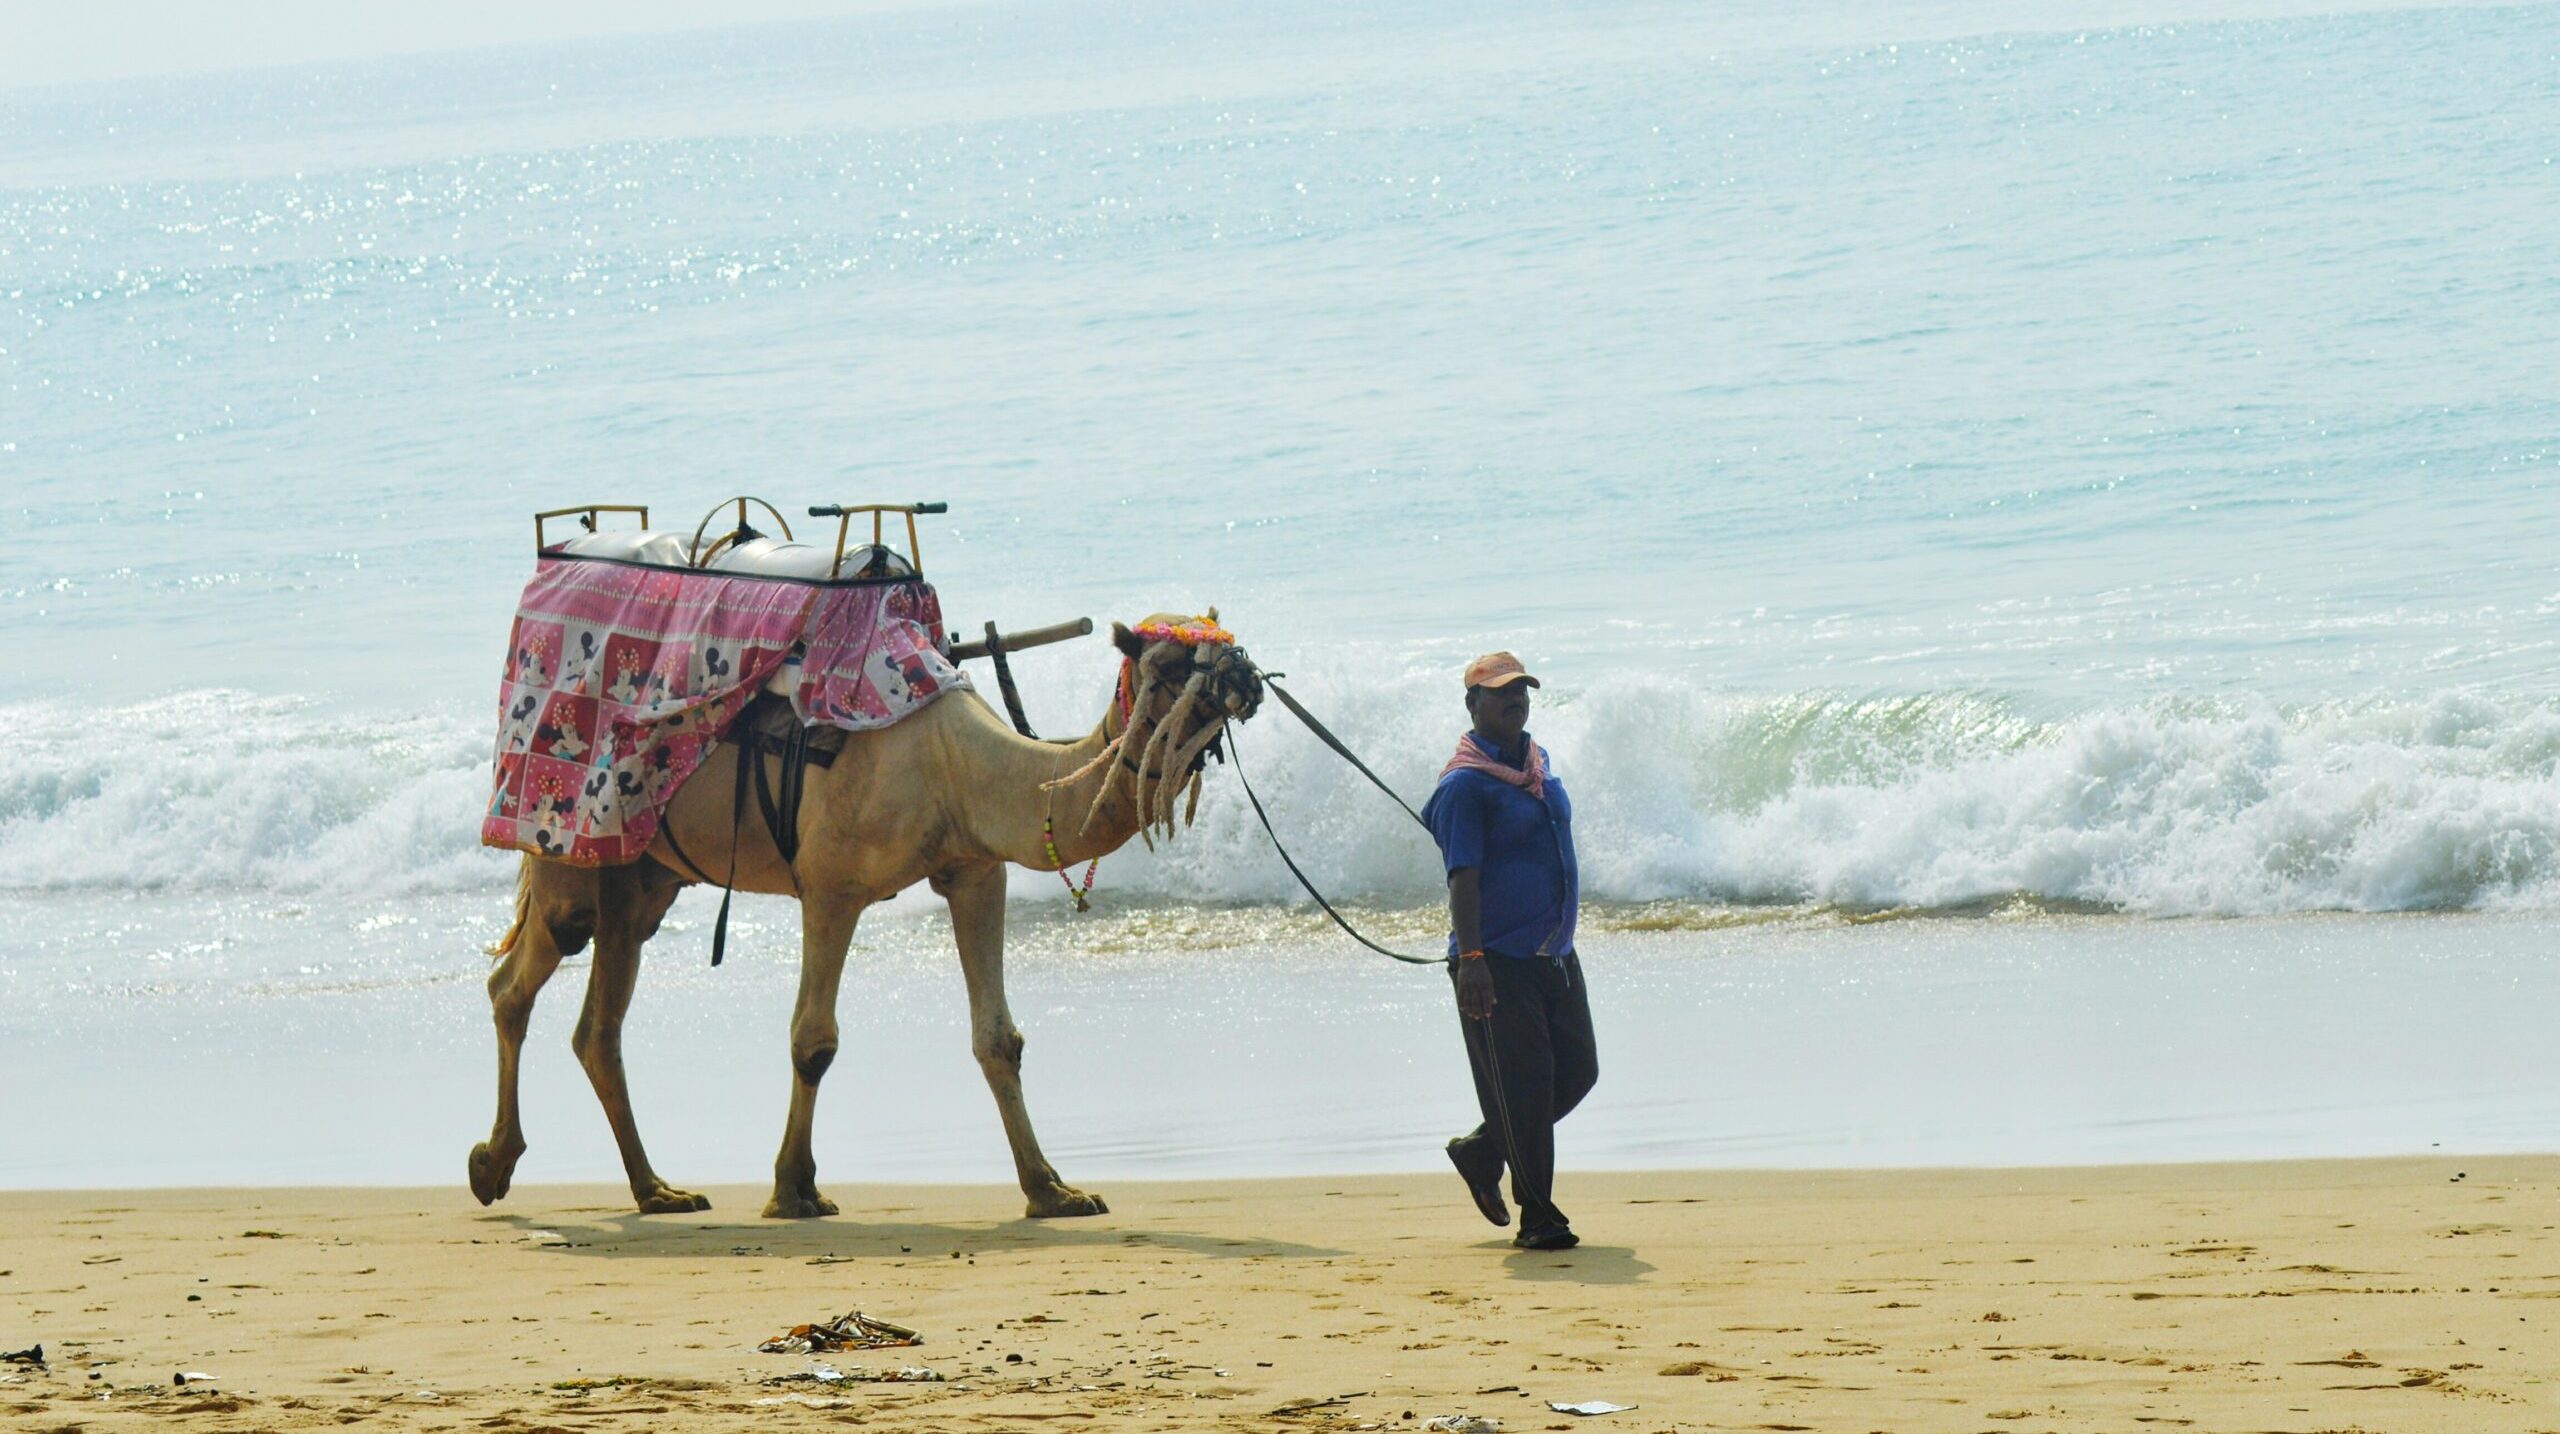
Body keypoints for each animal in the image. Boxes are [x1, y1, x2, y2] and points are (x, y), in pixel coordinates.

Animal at [468, 615, 1263, 1219]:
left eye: (1227, 641)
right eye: (1169, 662)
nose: (1247, 677)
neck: (956, 767)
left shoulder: (975, 872)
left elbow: (998, 1039)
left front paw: (1053, 1192)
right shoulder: (831, 885)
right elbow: (812, 1041)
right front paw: (794, 1189)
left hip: (645, 880)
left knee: (584, 1020)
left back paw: (643, 1188)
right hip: (570, 852)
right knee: (532, 982)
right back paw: (509, 1167)